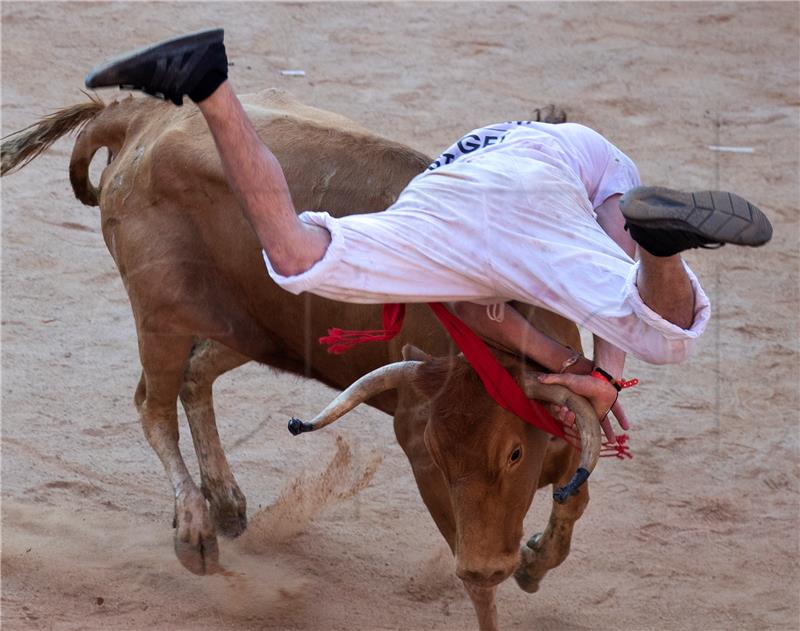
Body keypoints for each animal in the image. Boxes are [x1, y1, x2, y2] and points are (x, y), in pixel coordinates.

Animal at [1, 90, 600, 631]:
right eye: (436, 451)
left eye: (515, 453)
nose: (489, 564)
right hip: (160, 316)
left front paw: (534, 561)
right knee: (154, 405)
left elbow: (575, 497)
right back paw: (195, 528)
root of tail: (140, 115)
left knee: (195, 376)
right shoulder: (420, 445)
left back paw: (226, 503)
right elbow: (470, 561)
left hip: (251, 325)